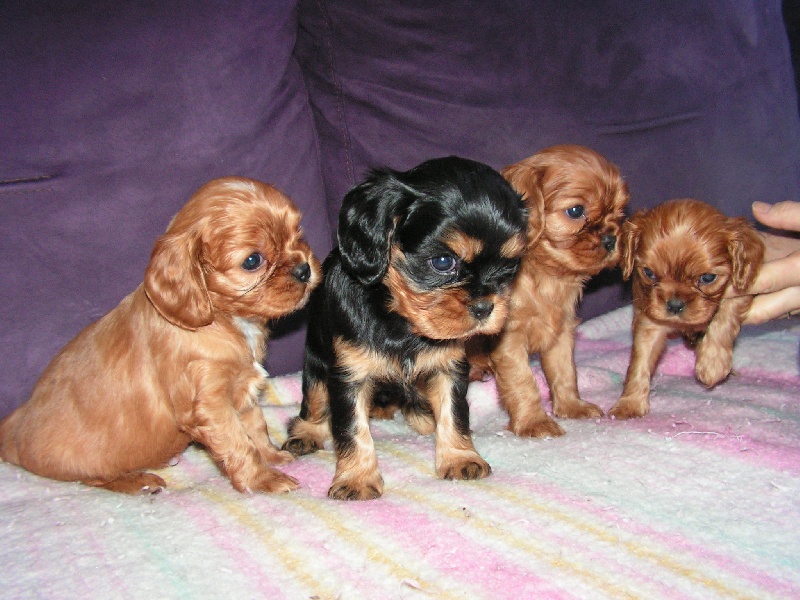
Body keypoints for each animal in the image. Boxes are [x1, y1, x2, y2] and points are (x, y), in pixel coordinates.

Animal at [0, 177, 318, 492]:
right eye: (252, 261)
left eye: (297, 233)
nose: (304, 269)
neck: (223, 320)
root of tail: (14, 431)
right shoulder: (209, 403)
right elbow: (238, 442)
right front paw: (262, 479)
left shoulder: (243, 392)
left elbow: (255, 426)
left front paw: (272, 456)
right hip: (86, 462)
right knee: (96, 478)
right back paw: (139, 482)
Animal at [284, 157, 528, 500]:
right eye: (443, 262)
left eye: (510, 266)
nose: (485, 308)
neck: (400, 321)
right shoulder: (348, 375)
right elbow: (351, 428)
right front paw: (357, 479)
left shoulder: (449, 367)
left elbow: (455, 412)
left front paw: (460, 457)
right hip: (316, 366)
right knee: (315, 403)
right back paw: (306, 432)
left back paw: (423, 416)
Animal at [468, 145, 632, 436]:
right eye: (576, 211)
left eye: (620, 210)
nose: (612, 238)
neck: (545, 275)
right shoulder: (510, 338)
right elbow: (522, 381)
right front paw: (534, 422)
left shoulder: (561, 331)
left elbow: (565, 372)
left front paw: (571, 407)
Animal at [608, 197, 764, 418]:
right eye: (649, 273)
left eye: (707, 278)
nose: (674, 305)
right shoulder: (649, 320)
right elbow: (640, 361)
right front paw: (630, 404)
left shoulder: (737, 291)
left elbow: (724, 318)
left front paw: (713, 363)